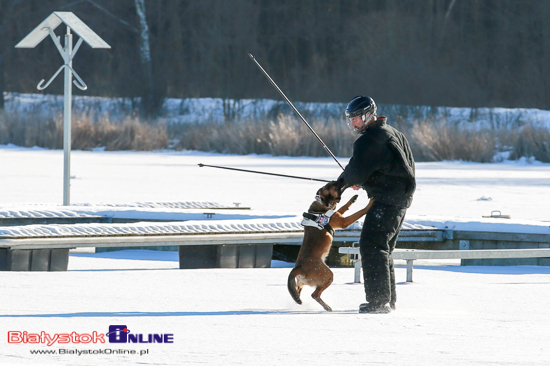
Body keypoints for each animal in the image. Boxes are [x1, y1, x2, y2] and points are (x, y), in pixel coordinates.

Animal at [288, 180, 376, 312]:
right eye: (332, 185)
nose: (340, 179)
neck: (322, 205)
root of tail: (298, 267)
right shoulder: (343, 222)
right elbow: (361, 211)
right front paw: (370, 203)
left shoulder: (338, 213)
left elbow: (343, 207)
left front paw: (352, 199)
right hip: (328, 275)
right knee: (314, 294)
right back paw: (327, 307)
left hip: (301, 284)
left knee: (298, 293)